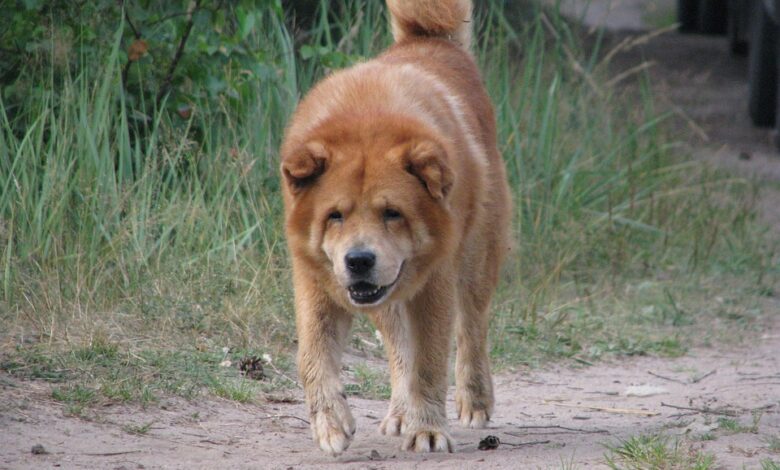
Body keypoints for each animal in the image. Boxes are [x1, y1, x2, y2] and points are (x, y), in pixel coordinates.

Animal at [280, 0, 512, 456]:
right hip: (386, 299)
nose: (359, 260)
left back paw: (474, 399)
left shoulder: (434, 287)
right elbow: (313, 358)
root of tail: (432, 41)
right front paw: (331, 423)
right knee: (400, 348)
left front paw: (428, 430)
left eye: (392, 213)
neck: (366, 118)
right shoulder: (316, 282)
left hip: (476, 260)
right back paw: (401, 412)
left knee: (472, 328)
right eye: (335, 215)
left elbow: (429, 363)